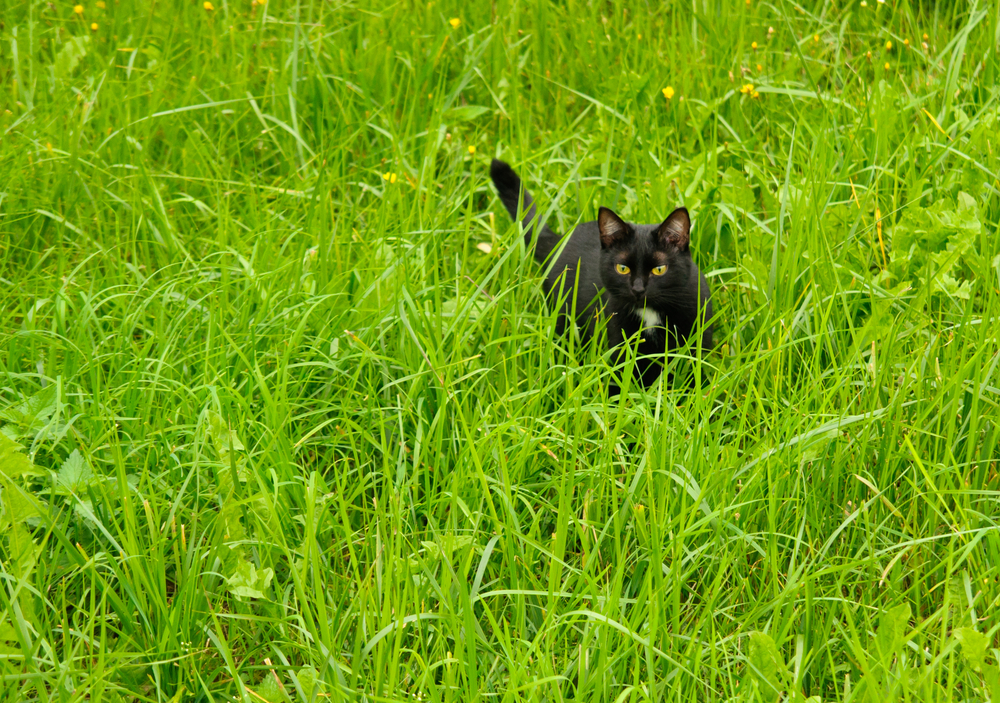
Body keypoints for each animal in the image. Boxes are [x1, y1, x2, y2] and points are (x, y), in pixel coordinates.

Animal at [490, 160, 712, 388]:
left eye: (659, 269)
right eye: (622, 268)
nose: (638, 289)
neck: (650, 312)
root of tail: (559, 240)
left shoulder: (696, 339)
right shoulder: (617, 341)